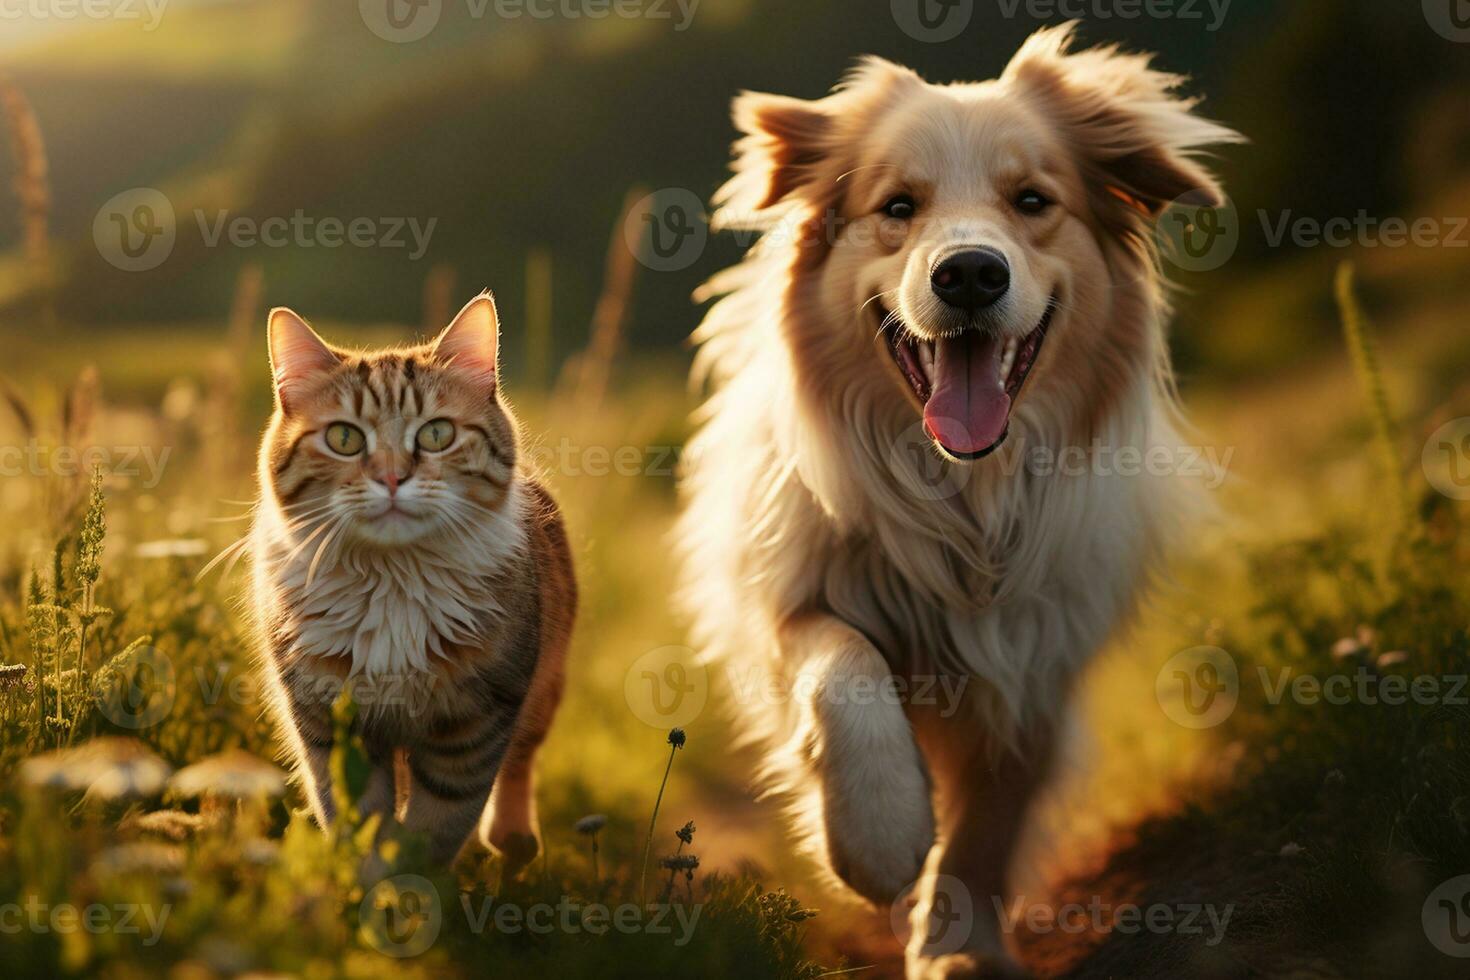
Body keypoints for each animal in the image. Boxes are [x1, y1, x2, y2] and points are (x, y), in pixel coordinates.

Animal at [246, 290, 573, 863]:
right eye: (344, 438)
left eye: (437, 434)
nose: (393, 477)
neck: (391, 583)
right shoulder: (329, 724)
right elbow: (359, 817)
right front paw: (368, 877)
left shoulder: (474, 728)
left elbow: (435, 826)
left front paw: (410, 880)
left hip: (545, 678)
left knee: (522, 758)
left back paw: (513, 838)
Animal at [676, 22, 1240, 980]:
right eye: (898, 206)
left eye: (1032, 199)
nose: (970, 274)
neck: (964, 497)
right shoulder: (783, 600)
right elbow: (843, 671)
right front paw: (877, 836)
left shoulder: (1040, 655)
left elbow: (993, 816)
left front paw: (958, 946)